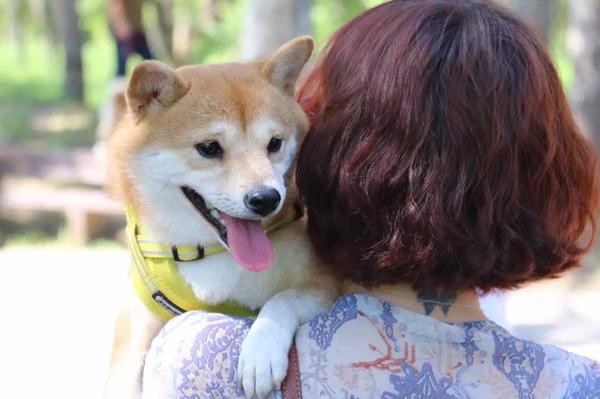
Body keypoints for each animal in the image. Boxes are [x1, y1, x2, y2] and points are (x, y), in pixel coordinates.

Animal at [105, 36, 336, 396]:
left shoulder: (324, 280)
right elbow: (122, 371)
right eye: (209, 148)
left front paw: (261, 351)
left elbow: (281, 300)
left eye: (274, 143)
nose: (266, 199)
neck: (206, 252)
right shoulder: (135, 320)